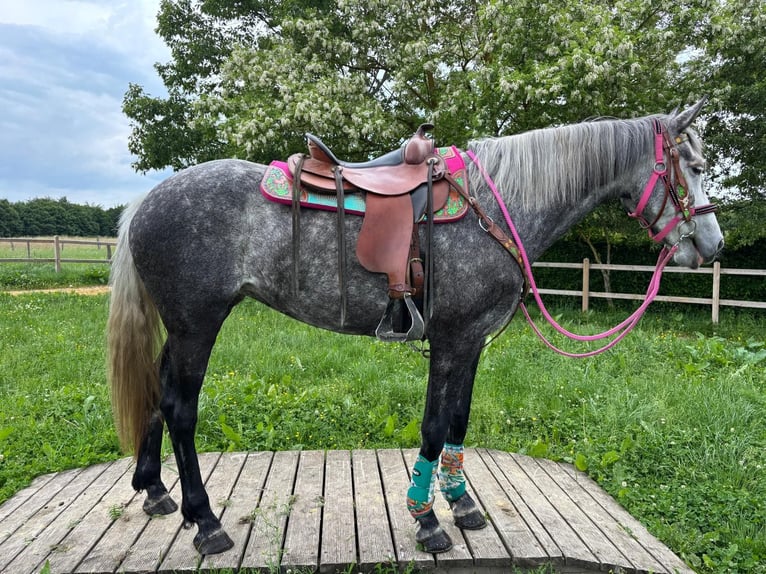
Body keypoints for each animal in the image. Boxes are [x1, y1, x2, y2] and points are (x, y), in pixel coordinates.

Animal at [107, 99, 724, 555]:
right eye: (693, 168)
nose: (714, 246)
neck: (499, 206)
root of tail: (146, 201)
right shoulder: (451, 340)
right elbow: (431, 426)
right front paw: (427, 520)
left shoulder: (472, 341)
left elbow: (458, 419)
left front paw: (461, 502)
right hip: (197, 325)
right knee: (181, 409)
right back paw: (206, 523)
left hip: (181, 329)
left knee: (158, 392)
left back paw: (155, 490)